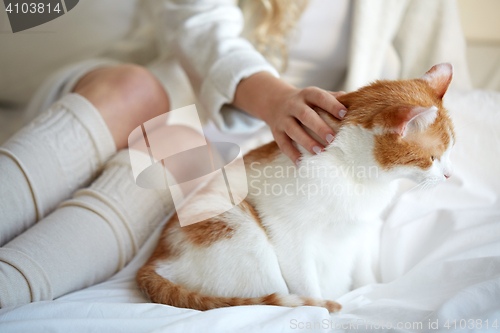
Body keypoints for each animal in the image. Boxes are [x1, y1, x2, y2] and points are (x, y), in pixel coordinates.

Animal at [138, 63, 458, 312]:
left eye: (451, 150)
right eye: (432, 158)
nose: (449, 175)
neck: (354, 176)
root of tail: (153, 259)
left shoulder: (362, 230)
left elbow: (365, 273)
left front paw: (372, 293)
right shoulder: (290, 236)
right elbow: (309, 289)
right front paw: (323, 312)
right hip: (243, 230)